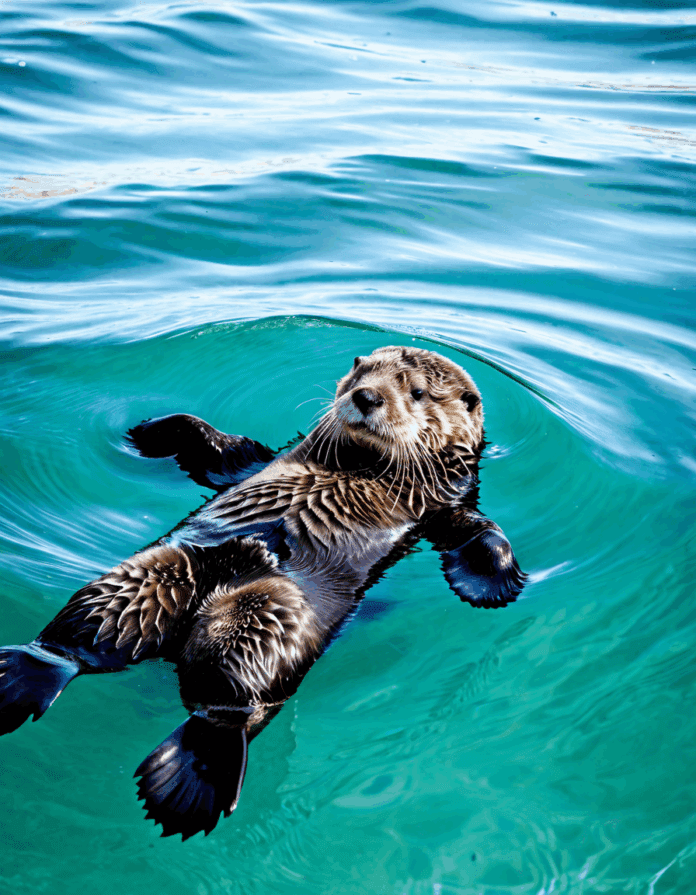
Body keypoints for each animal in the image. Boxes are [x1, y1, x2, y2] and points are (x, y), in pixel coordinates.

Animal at [0, 346, 526, 840]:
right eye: (360, 370)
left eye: (417, 392)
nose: (365, 397)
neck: (363, 465)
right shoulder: (264, 457)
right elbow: (223, 449)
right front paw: (154, 428)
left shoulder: (443, 505)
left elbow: (478, 531)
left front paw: (497, 582)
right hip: (158, 569)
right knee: (76, 645)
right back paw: (20, 675)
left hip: (274, 607)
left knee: (225, 705)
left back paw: (194, 777)